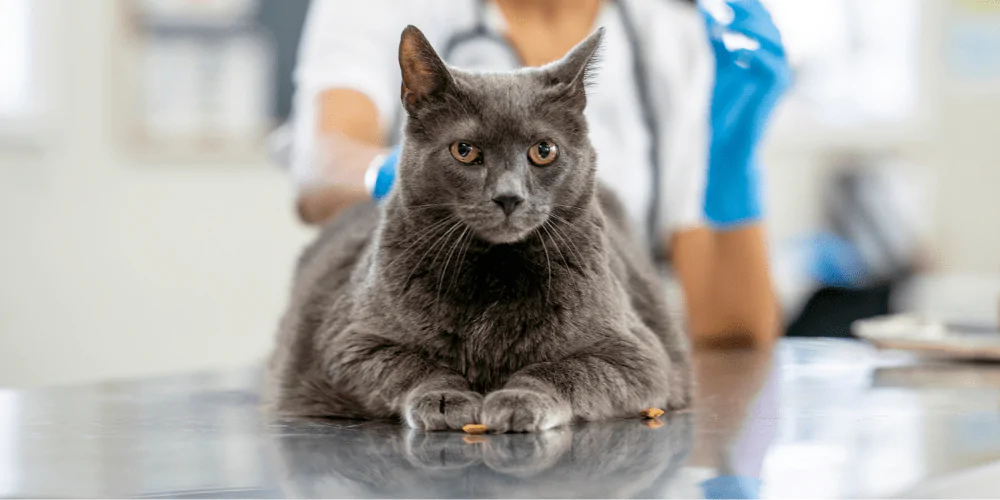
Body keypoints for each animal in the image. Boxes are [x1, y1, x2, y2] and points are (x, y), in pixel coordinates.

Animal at [262, 25, 692, 432]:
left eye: (544, 150)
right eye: (464, 151)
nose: (508, 196)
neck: (494, 272)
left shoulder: (637, 354)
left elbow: (565, 369)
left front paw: (520, 398)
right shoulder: (349, 343)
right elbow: (411, 365)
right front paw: (443, 398)